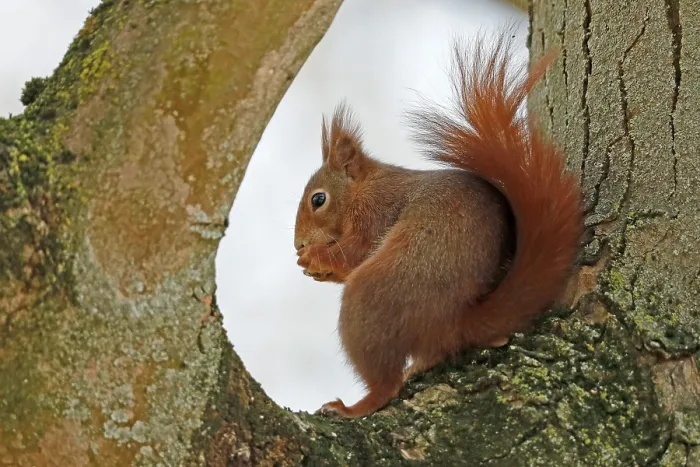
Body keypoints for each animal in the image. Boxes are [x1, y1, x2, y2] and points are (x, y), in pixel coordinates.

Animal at [293, 27, 583, 418]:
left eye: (318, 200)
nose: (298, 243)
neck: (364, 189)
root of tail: (452, 321)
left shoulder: (377, 213)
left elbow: (356, 251)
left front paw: (316, 259)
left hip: (374, 297)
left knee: (385, 382)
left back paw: (355, 406)